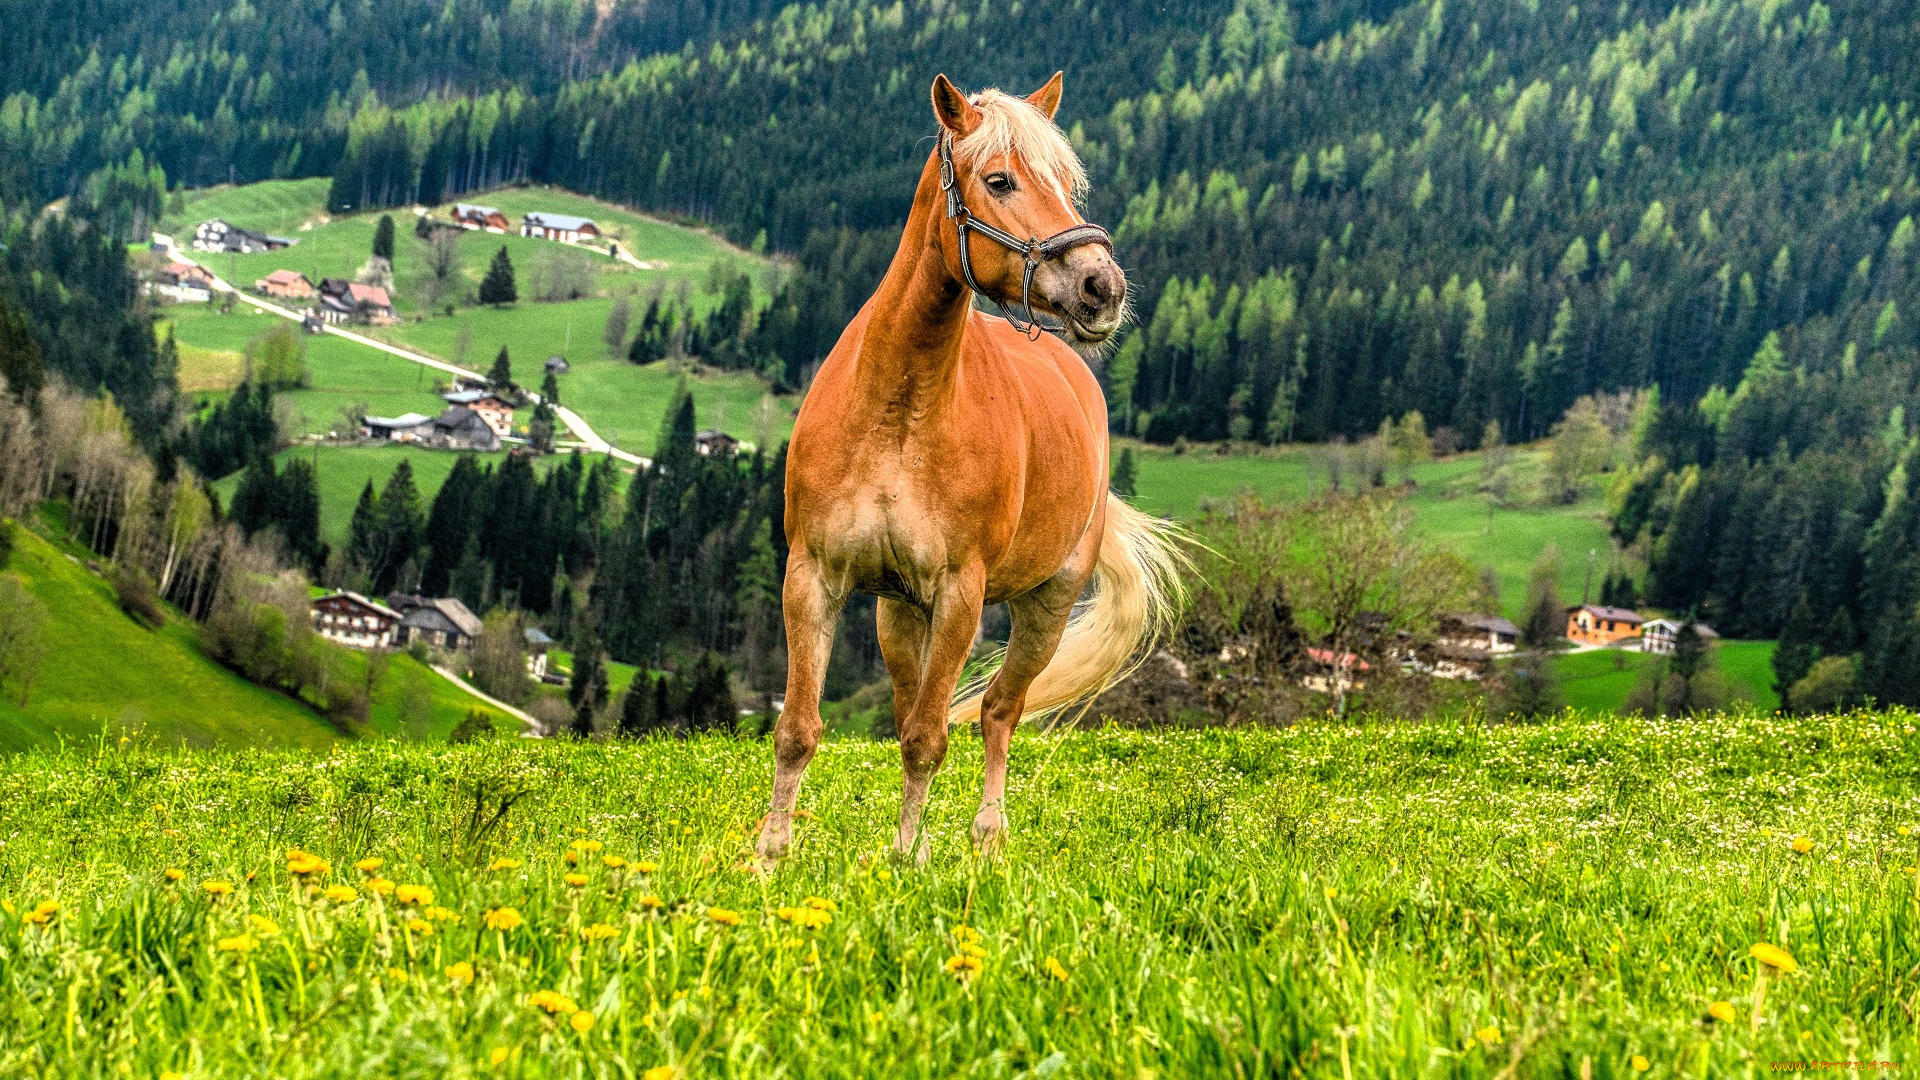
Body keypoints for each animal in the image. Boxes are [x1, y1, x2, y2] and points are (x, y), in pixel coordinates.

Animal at [756, 72, 1185, 866]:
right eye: (1000, 180)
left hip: (1046, 606)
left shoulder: (961, 594)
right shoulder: (813, 577)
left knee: (998, 711)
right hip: (899, 611)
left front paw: (905, 857)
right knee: (913, 702)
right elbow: (799, 729)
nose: (1101, 286)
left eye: (1066, 183)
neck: (897, 411)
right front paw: (770, 856)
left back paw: (987, 835)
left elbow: (929, 739)